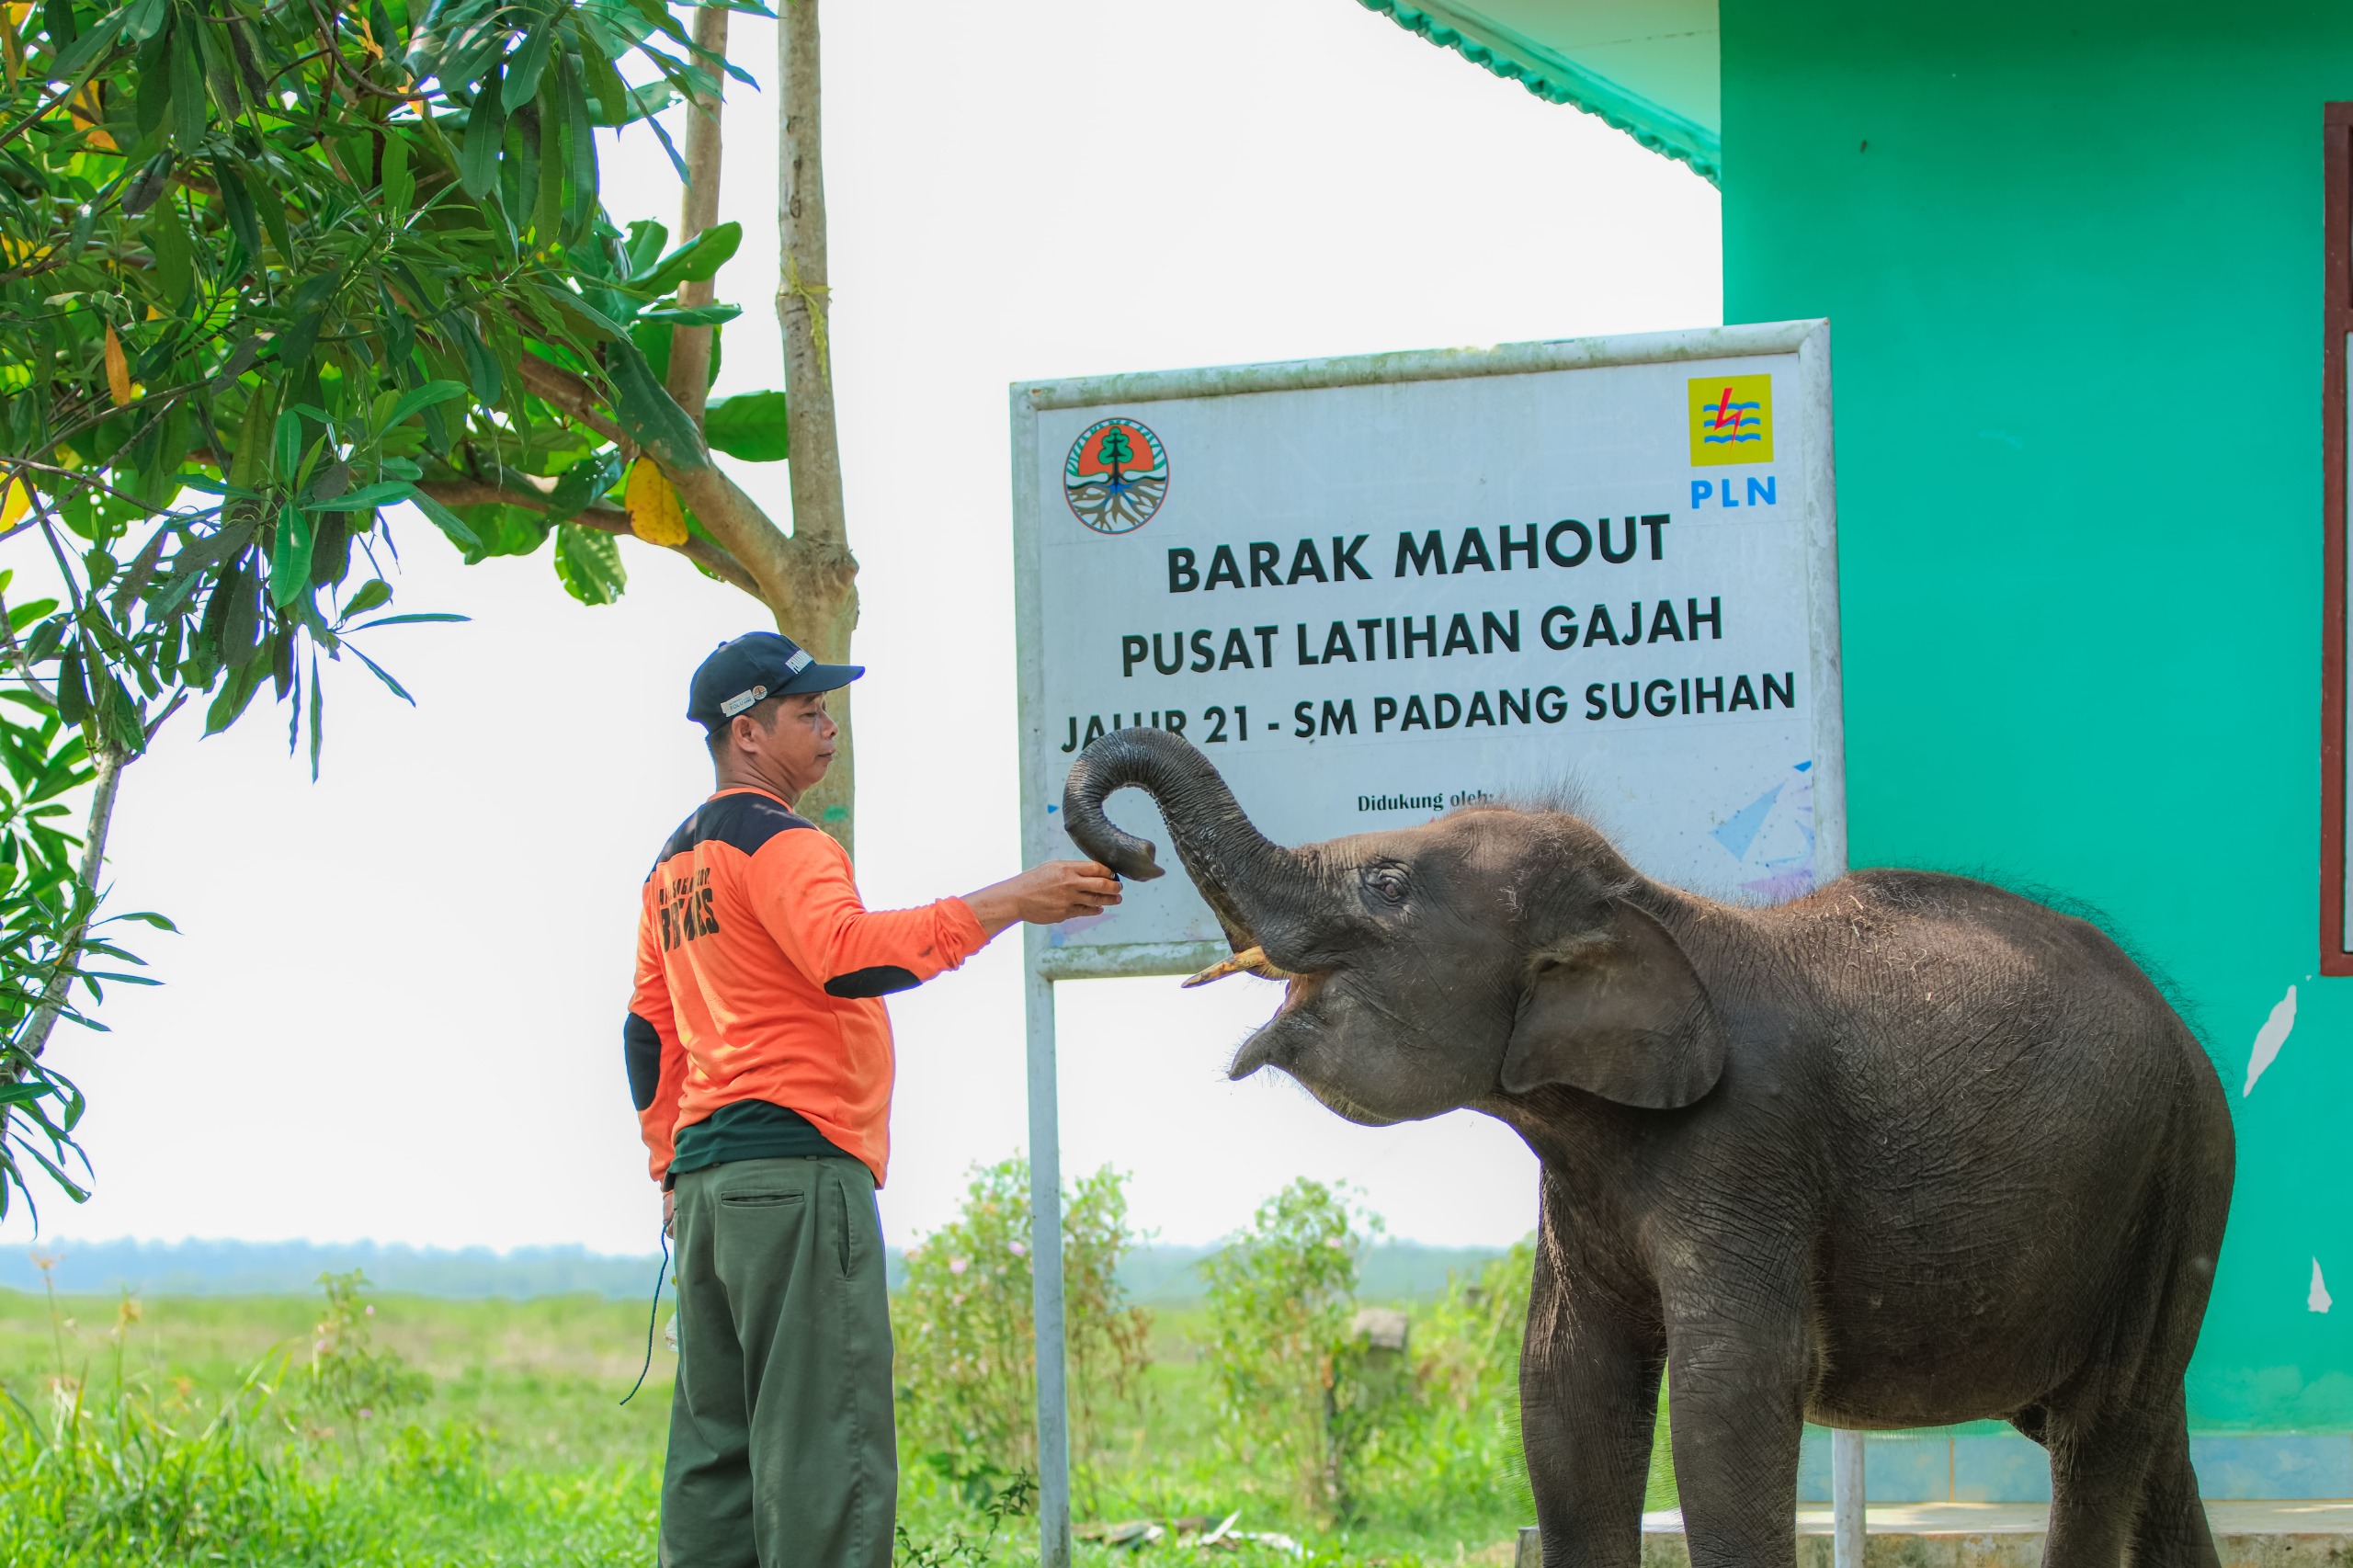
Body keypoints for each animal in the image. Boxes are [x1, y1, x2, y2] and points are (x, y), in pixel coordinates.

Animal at [1068, 724, 2240, 1562]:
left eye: (1386, 885)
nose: (1128, 854)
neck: (1641, 905)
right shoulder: (1579, 1178)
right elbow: (1563, 1390)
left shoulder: (1749, 1144)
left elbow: (1729, 1395)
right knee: (2149, 1441)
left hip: (2179, 1172)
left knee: (2100, 1434)